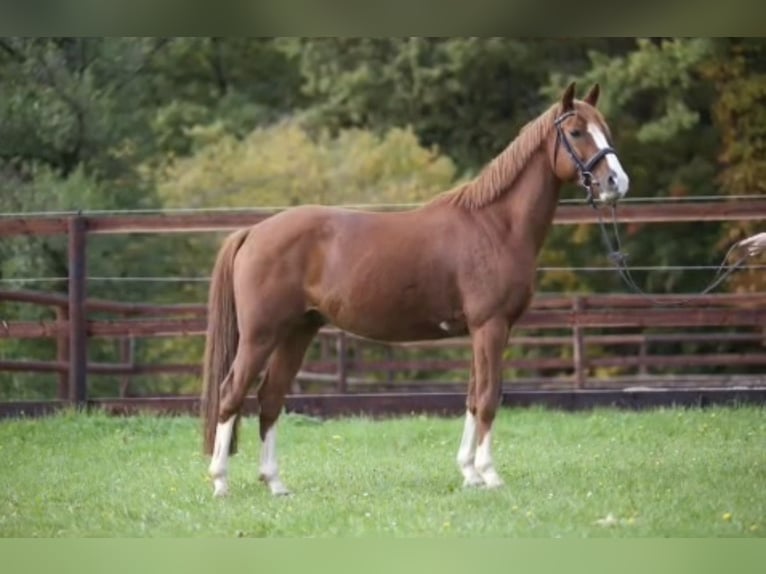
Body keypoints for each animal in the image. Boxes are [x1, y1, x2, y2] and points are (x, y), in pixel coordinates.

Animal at [201, 81, 630, 497]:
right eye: (576, 132)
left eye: (606, 130)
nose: (617, 182)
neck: (495, 225)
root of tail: (253, 232)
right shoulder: (490, 326)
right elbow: (489, 397)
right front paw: (489, 474)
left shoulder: (483, 330)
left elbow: (473, 397)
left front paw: (469, 474)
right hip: (261, 335)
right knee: (231, 393)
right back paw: (220, 481)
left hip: (298, 332)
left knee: (270, 398)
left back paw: (275, 483)